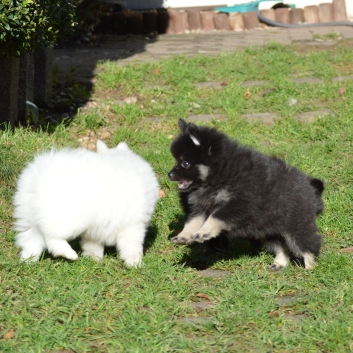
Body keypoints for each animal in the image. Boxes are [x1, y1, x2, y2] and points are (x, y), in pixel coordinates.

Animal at [12, 139, 158, 266]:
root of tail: (39, 176)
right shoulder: (133, 225)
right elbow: (132, 247)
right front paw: (135, 264)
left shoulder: (94, 231)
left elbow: (93, 246)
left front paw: (94, 260)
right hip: (68, 220)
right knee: (51, 238)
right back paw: (69, 254)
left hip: (28, 216)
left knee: (29, 239)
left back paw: (28, 260)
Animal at [168, 118, 324, 270]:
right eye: (176, 161)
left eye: (185, 163)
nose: (169, 174)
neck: (220, 173)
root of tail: (309, 188)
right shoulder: (201, 207)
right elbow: (192, 222)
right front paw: (184, 235)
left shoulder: (240, 204)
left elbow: (215, 217)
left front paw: (204, 232)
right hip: (266, 231)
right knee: (282, 247)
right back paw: (280, 263)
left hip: (296, 226)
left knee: (308, 244)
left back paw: (310, 267)